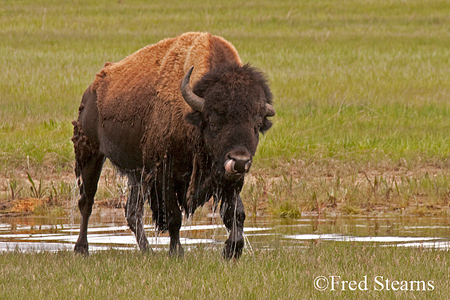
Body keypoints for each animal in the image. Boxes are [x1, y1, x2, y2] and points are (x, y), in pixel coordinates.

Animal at [71, 31, 274, 258]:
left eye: (256, 125)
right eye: (213, 122)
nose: (239, 160)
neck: (194, 115)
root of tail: (92, 90)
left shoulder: (229, 180)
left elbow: (235, 213)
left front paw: (232, 250)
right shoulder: (164, 175)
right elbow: (174, 217)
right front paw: (177, 252)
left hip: (137, 173)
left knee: (132, 212)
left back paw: (148, 251)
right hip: (90, 154)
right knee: (87, 202)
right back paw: (82, 248)